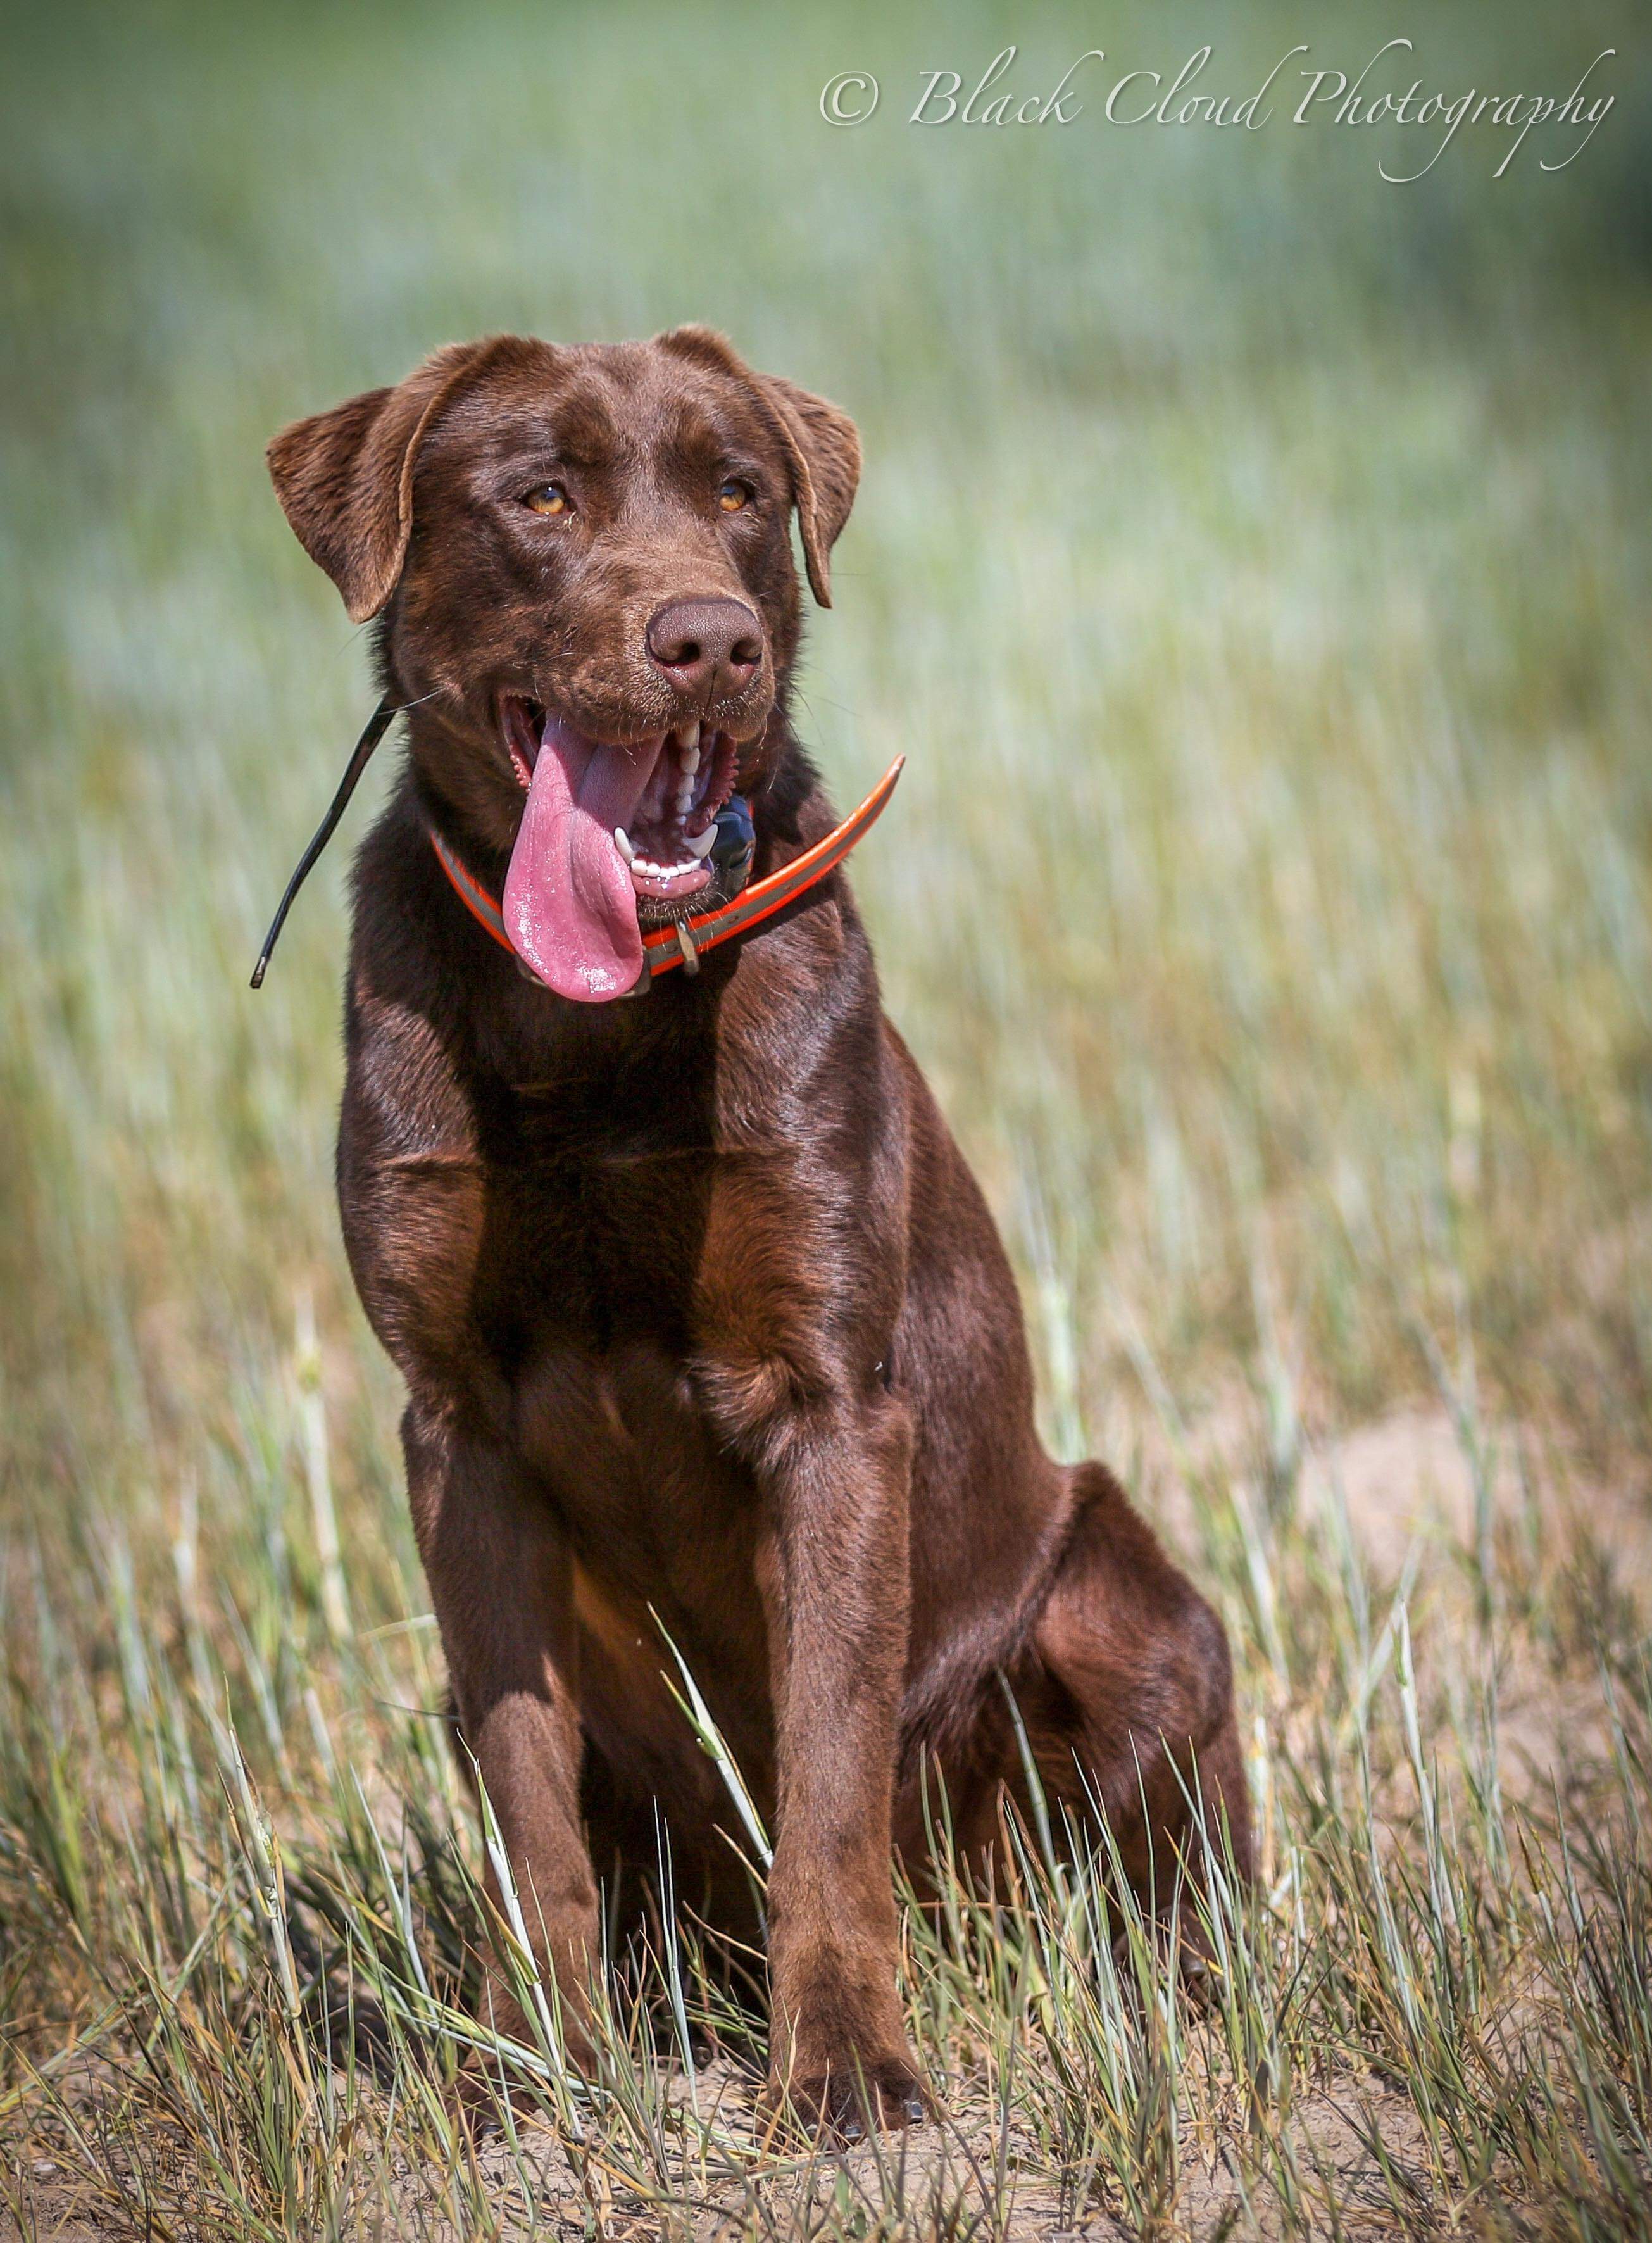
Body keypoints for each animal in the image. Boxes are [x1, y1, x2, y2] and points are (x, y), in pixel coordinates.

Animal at [268, 325, 1246, 2126]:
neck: (584, 1027)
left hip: (1120, 1606)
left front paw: (848, 2065)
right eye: (541, 495)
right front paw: (541, 2067)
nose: (706, 637)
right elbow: (527, 1798)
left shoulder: (833, 1406)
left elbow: (830, 1775)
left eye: (736, 493)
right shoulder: (456, 1435)